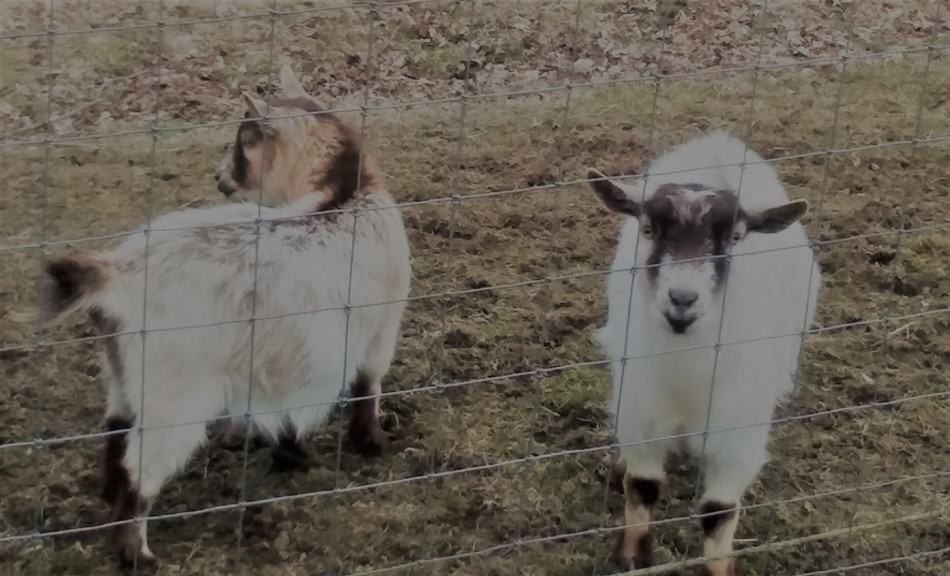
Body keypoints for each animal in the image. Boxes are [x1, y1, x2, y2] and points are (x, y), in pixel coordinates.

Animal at [33, 66, 410, 568]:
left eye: (242, 141)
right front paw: (371, 443)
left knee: (117, 429)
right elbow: (368, 385)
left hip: (125, 369)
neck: (345, 191)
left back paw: (109, 499)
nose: (218, 177)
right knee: (141, 466)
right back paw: (138, 556)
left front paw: (293, 452)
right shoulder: (379, 326)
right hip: (176, 393)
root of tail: (119, 273)